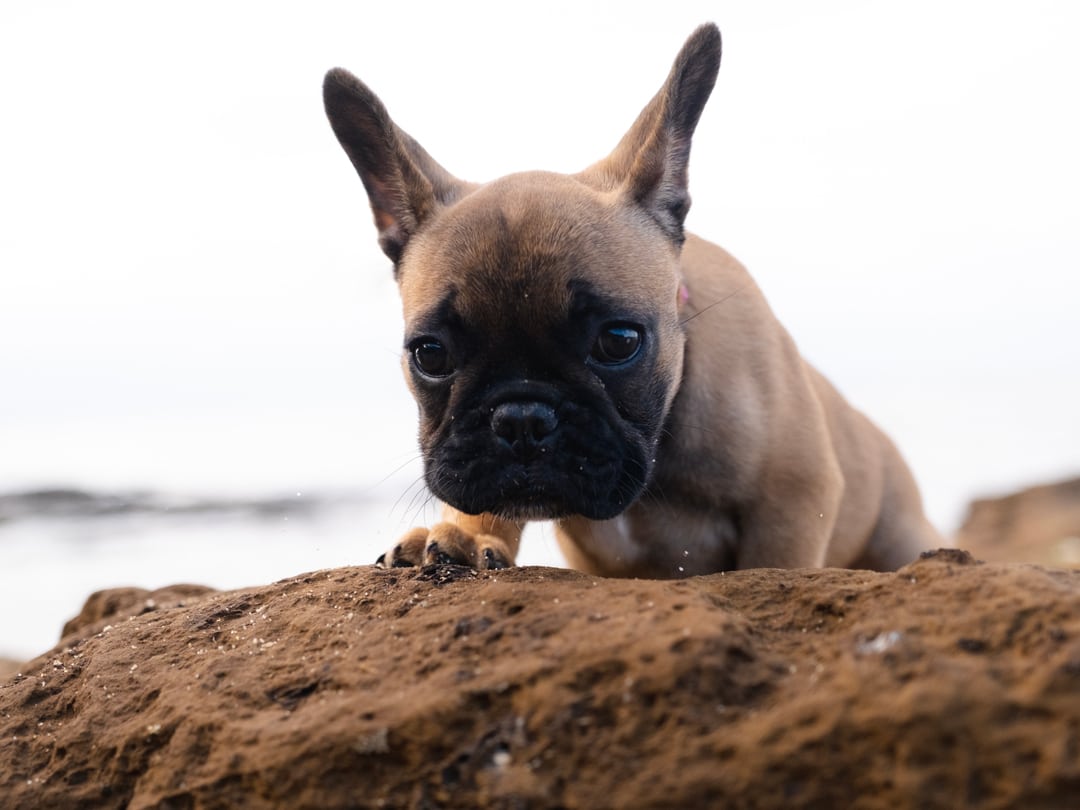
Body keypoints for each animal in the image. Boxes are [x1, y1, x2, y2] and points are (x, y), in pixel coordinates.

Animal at [319, 23, 937, 578]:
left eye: (618, 342)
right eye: (431, 354)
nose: (522, 419)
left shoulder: (791, 502)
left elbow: (777, 563)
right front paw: (467, 538)